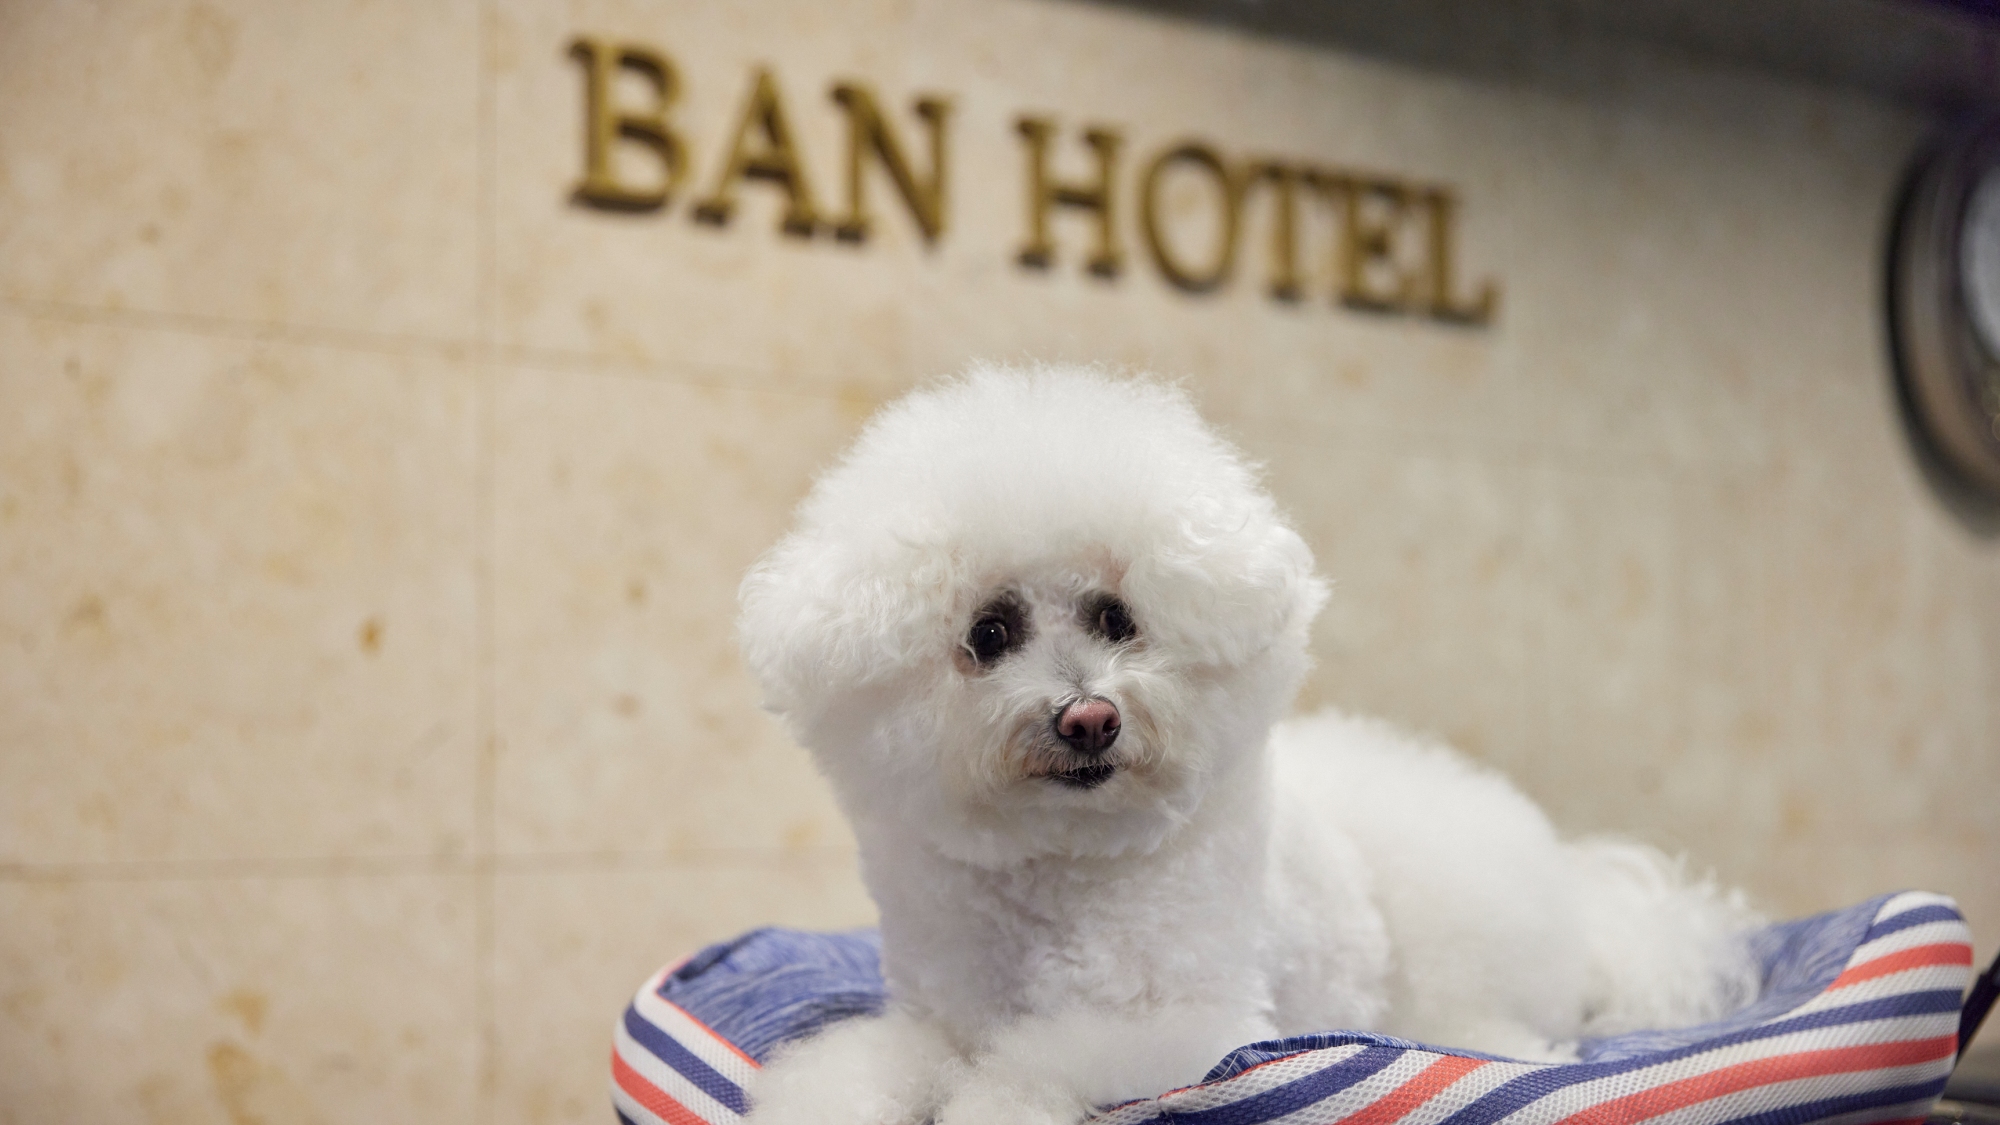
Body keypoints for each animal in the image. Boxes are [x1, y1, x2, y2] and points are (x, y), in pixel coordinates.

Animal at [732, 364, 1752, 1120]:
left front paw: (990, 1104)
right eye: (990, 632)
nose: (1089, 716)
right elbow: (856, 1067)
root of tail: (1592, 902)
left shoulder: (1193, 1023)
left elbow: (1031, 1066)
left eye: (1116, 618)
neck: (1060, 875)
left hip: (1450, 945)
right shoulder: (937, 1019)